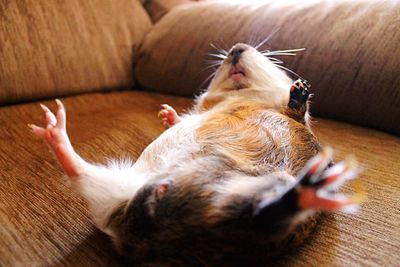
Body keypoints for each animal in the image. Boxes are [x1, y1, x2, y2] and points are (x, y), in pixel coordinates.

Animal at [30, 43, 362, 266]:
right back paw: (54, 127)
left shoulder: (291, 115)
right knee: (80, 172)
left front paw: (300, 88)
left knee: (265, 211)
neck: (237, 96)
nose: (237, 48)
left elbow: (296, 108)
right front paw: (168, 114)